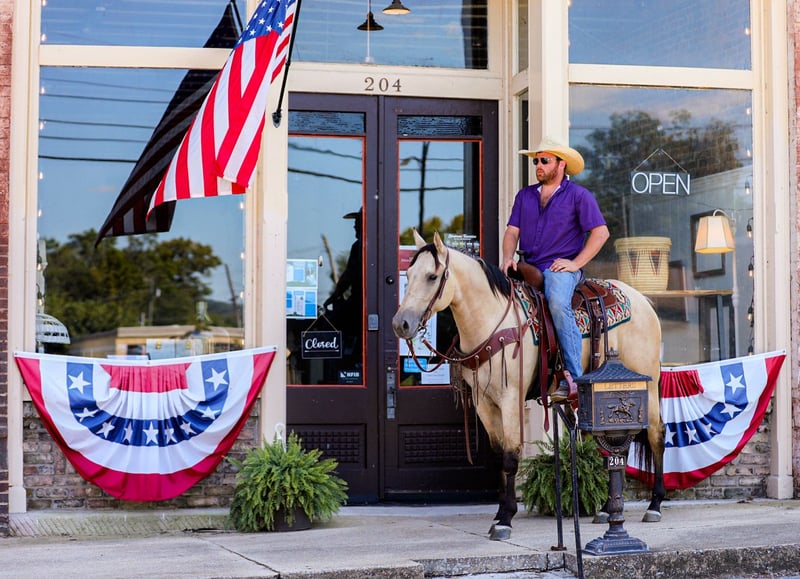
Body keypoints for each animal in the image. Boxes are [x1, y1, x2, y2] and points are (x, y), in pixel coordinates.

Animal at [392, 231, 665, 540]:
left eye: (432, 276)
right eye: (409, 274)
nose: (401, 324)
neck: (492, 320)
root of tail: (642, 300)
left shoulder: (510, 398)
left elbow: (511, 456)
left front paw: (505, 519)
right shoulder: (484, 402)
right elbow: (499, 455)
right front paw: (500, 512)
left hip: (646, 385)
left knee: (656, 434)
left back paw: (654, 505)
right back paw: (607, 509)